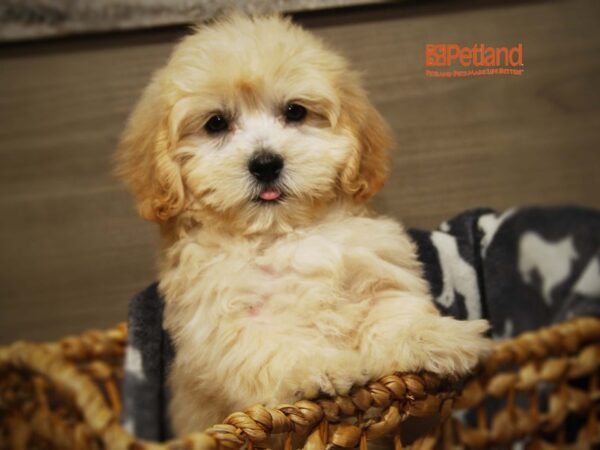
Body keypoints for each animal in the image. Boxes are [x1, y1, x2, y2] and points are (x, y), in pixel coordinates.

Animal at [115, 13, 490, 436]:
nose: (265, 164)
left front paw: (440, 336)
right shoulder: (222, 319)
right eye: (216, 123)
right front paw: (320, 365)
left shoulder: (376, 269)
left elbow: (394, 312)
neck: (283, 232)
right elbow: (272, 346)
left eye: (294, 112)